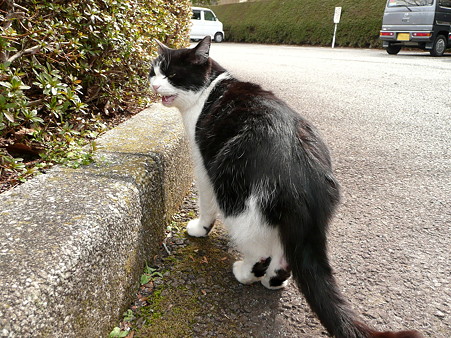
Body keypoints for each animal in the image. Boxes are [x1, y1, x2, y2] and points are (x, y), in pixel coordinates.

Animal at [149, 37, 424, 338]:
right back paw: (275, 281)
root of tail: (303, 172)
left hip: (236, 196)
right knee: (285, 254)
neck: (209, 90)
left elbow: (206, 205)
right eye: (154, 72)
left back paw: (244, 273)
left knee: (260, 251)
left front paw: (200, 229)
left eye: (172, 75)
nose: (154, 86)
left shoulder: (202, 167)